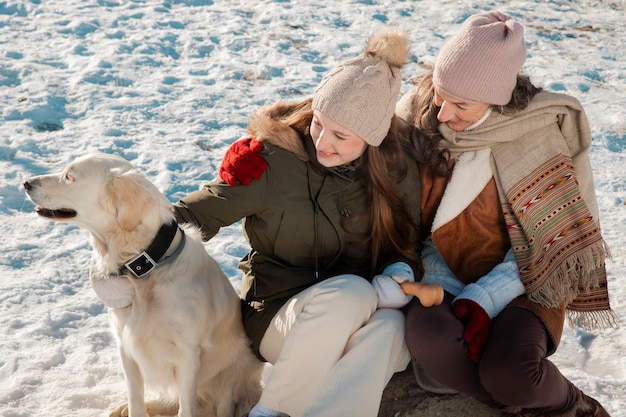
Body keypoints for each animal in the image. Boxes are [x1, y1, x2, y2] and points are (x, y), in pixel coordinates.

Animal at [23, 154, 262, 416]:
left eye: (69, 176)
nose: (26, 183)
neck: (146, 266)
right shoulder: (126, 345)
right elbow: (135, 396)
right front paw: (133, 407)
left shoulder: (188, 354)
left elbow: (186, 408)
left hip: (234, 369)